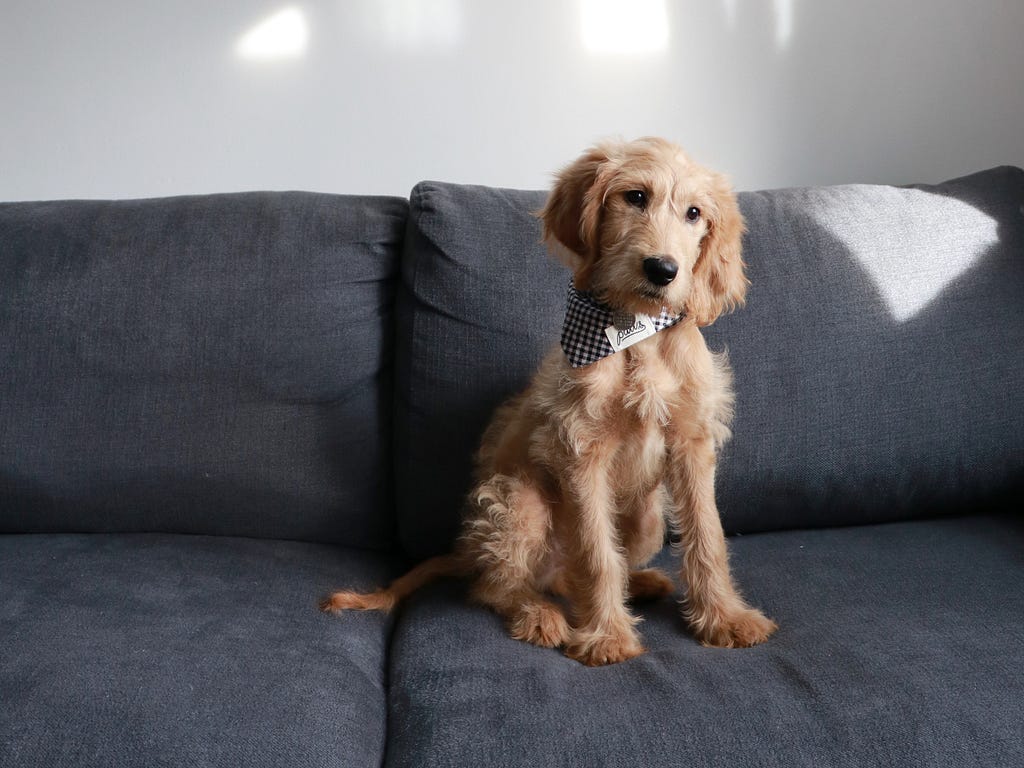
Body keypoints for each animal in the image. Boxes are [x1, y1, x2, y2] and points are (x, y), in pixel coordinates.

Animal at [323, 138, 778, 667]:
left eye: (694, 213)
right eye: (635, 197)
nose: (662, 269)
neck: (635, 331)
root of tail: (468, 550)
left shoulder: (691, 443)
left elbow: (707, 537)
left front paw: (724, 618)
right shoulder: (582, 450)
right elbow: (596, 554)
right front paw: (605, 637)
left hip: (646, 516)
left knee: (567, 576)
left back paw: (638, 583)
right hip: (519, 503)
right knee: (496, 586)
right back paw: (540, 614)